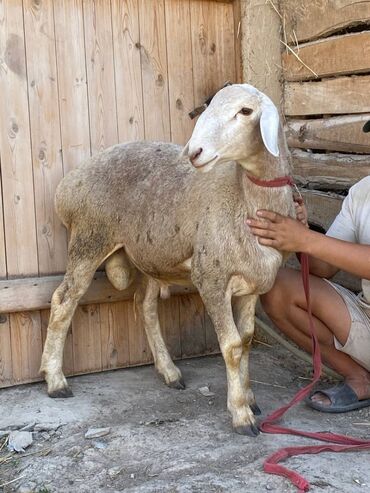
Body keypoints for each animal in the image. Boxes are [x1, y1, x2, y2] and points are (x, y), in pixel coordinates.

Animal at [40, 83, 294, 434]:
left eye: (245, 111)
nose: (194, 152)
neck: (245, 200)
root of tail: (66, 185)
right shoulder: (210, 277)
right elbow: (231, 346)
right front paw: (241, 414)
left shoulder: (253, 283)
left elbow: (245, 341)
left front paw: (249, 397)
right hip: (89, 237)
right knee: (64, 300)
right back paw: (55, 380)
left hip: (148, 254)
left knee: (144, 306)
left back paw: (169, 371)